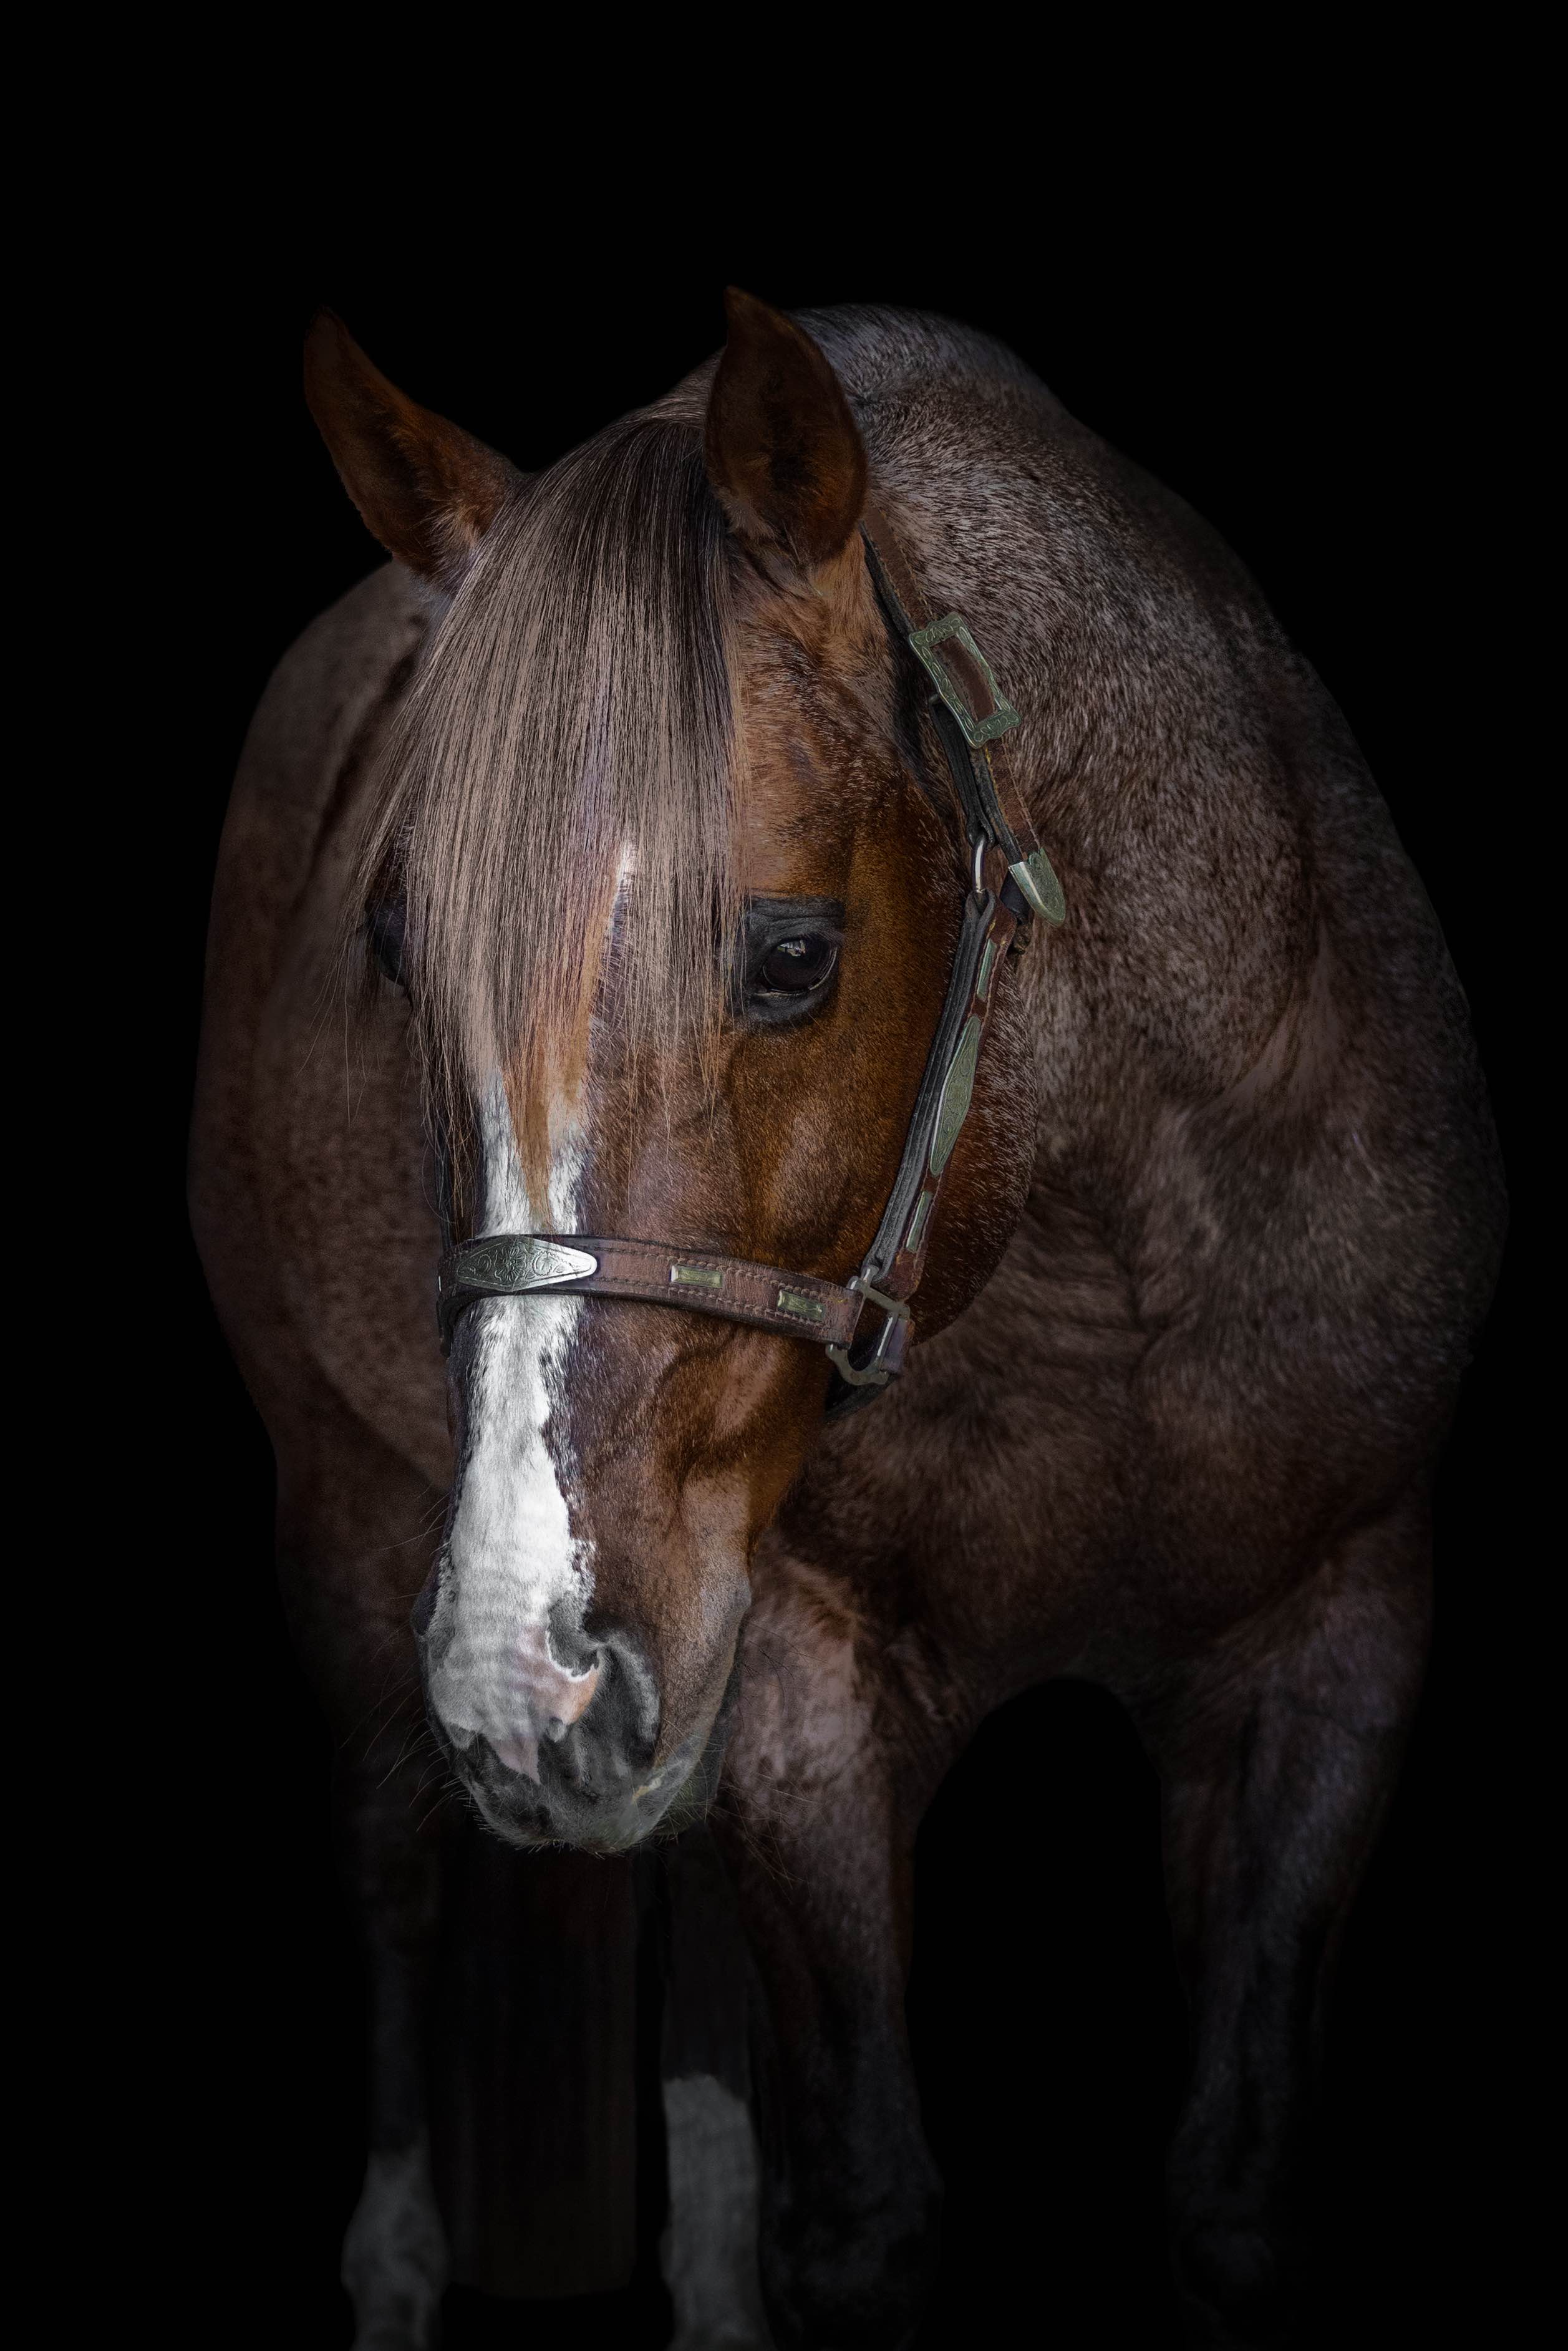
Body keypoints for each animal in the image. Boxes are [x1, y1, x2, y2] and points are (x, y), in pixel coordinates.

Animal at [189, 290, 1505, 2350]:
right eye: (396, 952)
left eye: (793, 955)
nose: (529, 1675)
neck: (1095, 1262)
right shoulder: (798, 1685)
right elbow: (870, 2203)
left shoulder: (1341, 1633)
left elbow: (1227, 2183)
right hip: (350, 1530)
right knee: (398, 1916)